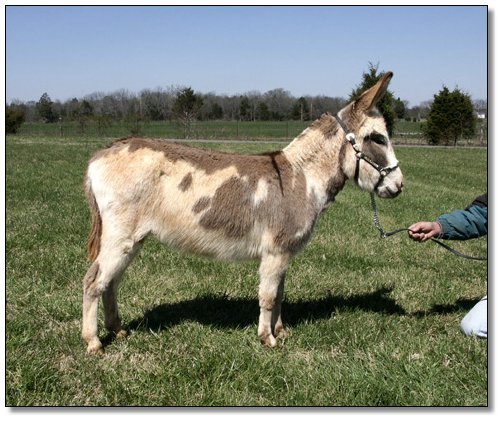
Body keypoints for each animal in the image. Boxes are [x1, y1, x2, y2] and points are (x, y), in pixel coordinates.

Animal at [82, 72, 403, 354]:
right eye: (377, 138)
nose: (399, 186)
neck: (301, 176)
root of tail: (101, 154)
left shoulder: (283, 253)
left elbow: (280, 294)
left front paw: (281, 331)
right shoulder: (275, 252)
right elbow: (269, 295)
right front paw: (267, 339)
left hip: (132, 240)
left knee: (110, 283)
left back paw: (117, 330)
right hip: (121, 237)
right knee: (94, 281)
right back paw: (94, 342)